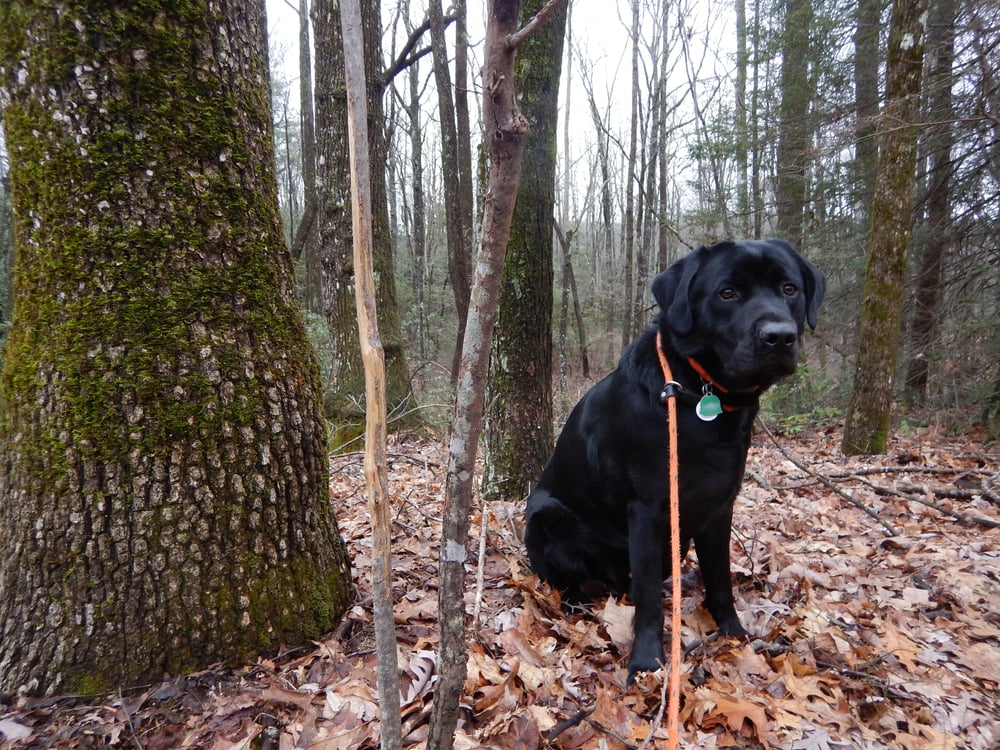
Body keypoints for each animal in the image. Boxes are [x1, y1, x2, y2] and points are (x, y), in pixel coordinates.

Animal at [528, 239, 824, 680]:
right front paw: (646, 660)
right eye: (727, 293)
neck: (699, 392)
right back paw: (575, 603)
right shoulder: (649, 510)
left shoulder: (719, 506)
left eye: (789, 289)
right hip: (544, 513)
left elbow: (720, 580)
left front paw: (733, 634)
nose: (779, 337)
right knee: (570, 579)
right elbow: (650, 600)